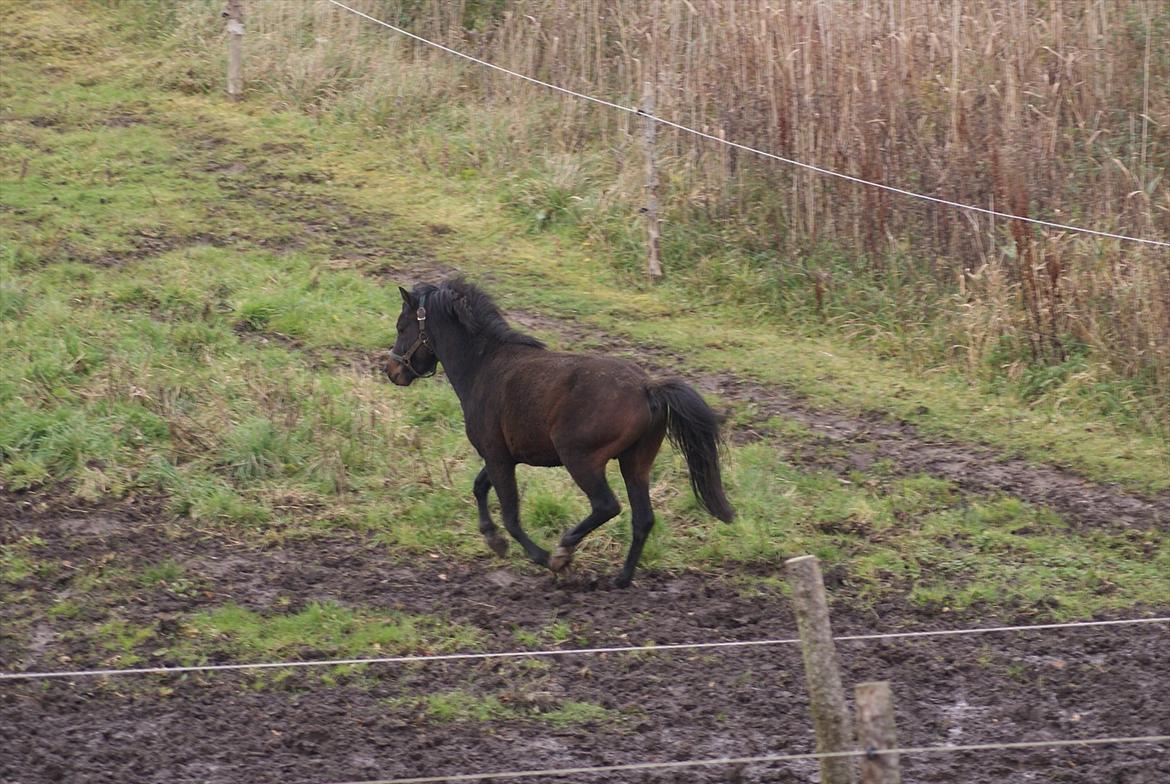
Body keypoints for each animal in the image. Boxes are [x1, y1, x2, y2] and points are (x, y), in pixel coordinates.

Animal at [383, 279, 730, 587]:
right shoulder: (503, 456)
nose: (392, 371)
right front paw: (494, 540)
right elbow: (480, 487)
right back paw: (621, 579)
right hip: (635, 464)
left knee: (607, 506)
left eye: (401, 326)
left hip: (581, 460)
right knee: (642, 518)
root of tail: (648, 388)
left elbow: (510, 514)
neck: (484, 365)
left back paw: (564, 551)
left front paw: (542, 556)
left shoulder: (497, 457)